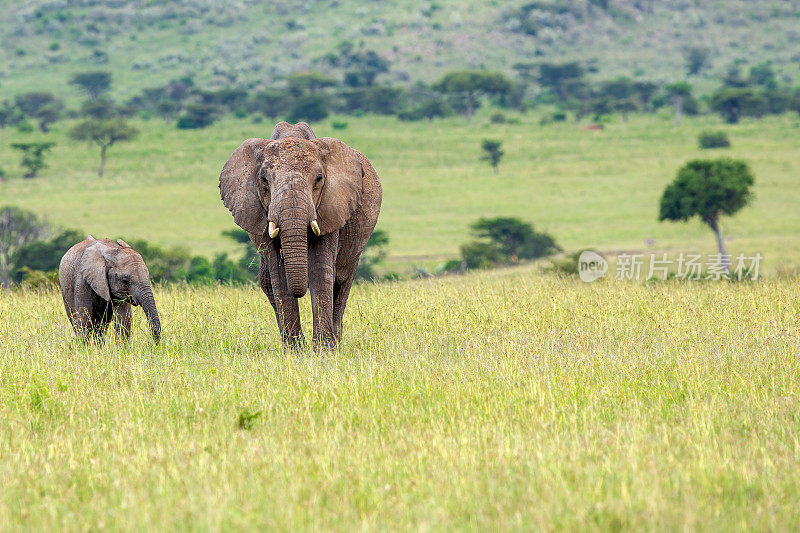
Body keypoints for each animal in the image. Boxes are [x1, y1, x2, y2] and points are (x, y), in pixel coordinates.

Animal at [219, 122, 382, 348]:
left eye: (319, 179)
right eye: (263, 180)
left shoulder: (331, 207)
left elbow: (321, 271)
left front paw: (323, 350)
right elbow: (279, 272)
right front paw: (296, 350)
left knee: (341, 282)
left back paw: (336, 342)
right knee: (267, 283)